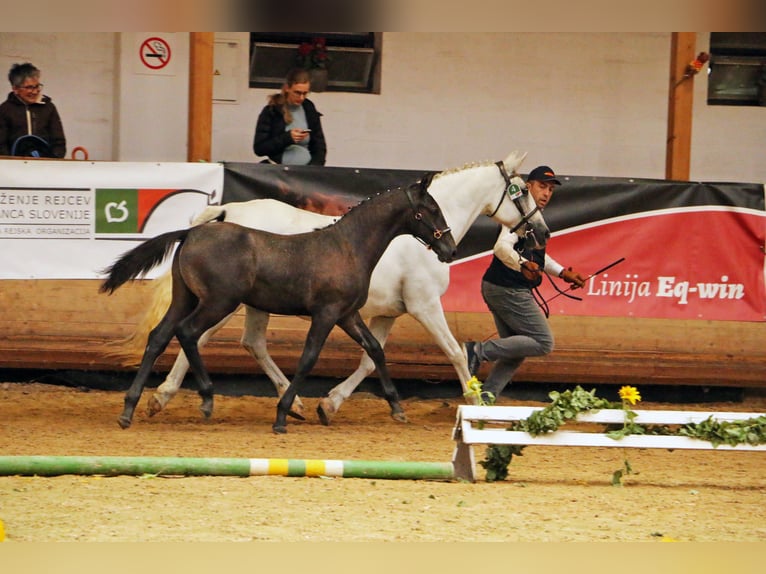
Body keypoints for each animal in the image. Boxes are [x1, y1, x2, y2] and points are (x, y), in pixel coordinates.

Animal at [111, 151, 548, 426]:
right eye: (521, 192)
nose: (540, 232)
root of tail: (222, 213)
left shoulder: (384, 313)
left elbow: (371, 359)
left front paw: (331, 405)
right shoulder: (423, 306)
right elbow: (455, 352)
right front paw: (474, 401)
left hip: (246, 304)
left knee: (240, 342)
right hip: (225, 301)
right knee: (196, 337)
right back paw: (168, 397)